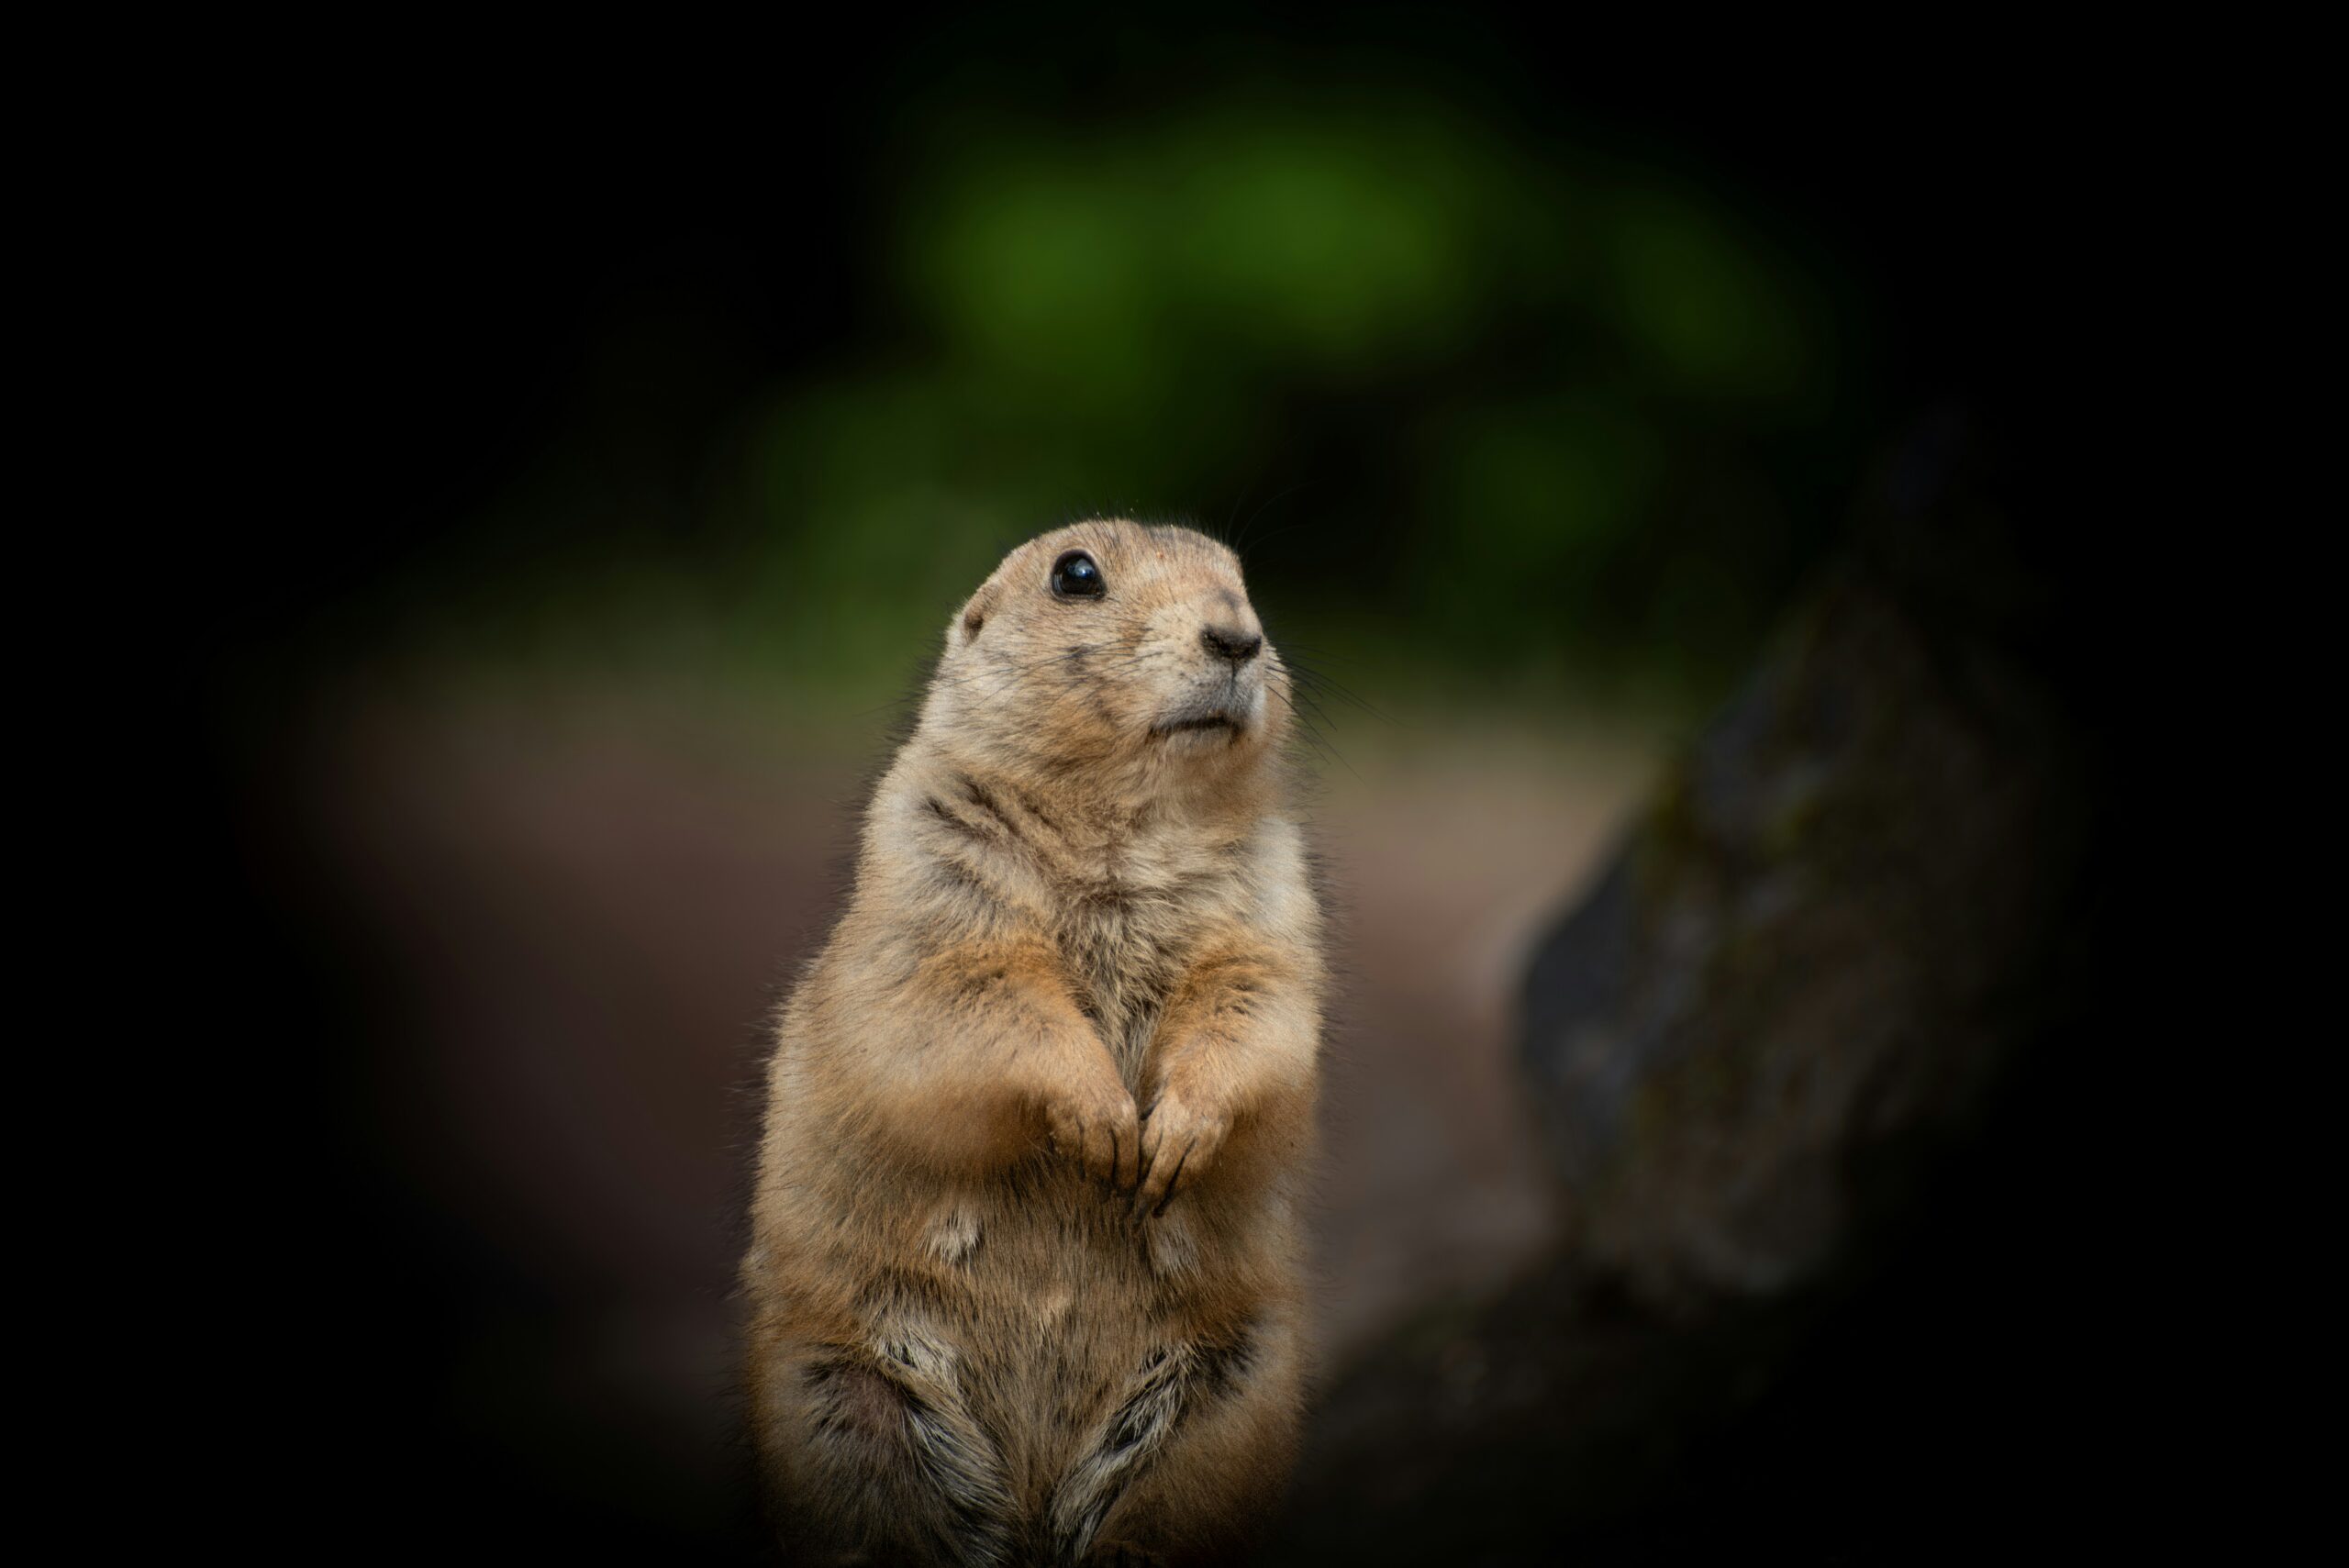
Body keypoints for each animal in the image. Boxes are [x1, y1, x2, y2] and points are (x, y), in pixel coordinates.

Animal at [742, 520, 1324, 1566]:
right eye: (1076, 574)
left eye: (1242, 577)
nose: (1238, 636)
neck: (1125, 826)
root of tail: (1031, 1502)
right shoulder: (930, 889)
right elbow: (977, 1004)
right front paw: (1106, 1124)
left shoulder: (1272, 909)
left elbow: (1259, 1012)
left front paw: (1174, 1136)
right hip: (840, 1407)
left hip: (1223, 1414)